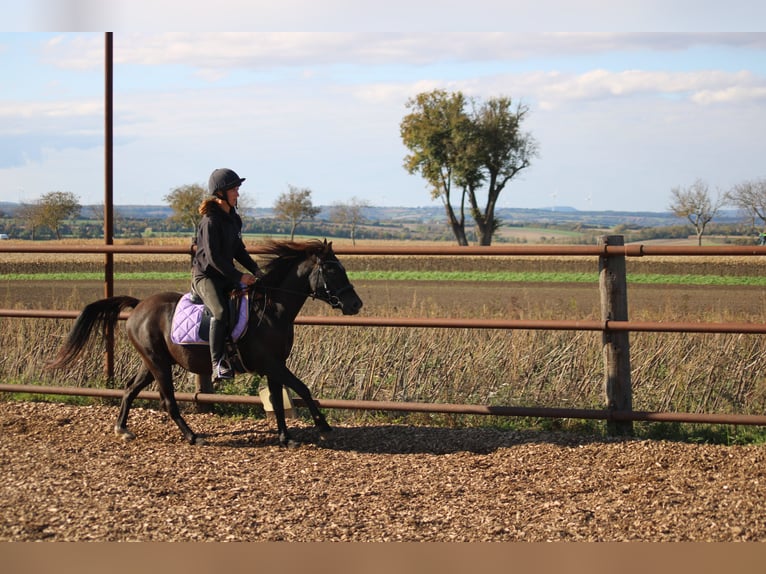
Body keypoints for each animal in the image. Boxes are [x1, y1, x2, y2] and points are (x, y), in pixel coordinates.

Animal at [47, 239, 363, 447]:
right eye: (332, 271)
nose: (355, 304)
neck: (272, 309)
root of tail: (138, 306)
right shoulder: (270, 363)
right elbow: (302, 388)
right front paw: (323, 426)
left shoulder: (275, 365)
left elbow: (278, 397)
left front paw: (286, 438)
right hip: (159, 364)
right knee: (168, 401)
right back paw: (192, 436)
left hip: (151, 363)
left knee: (129, 390)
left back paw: (122, 429)